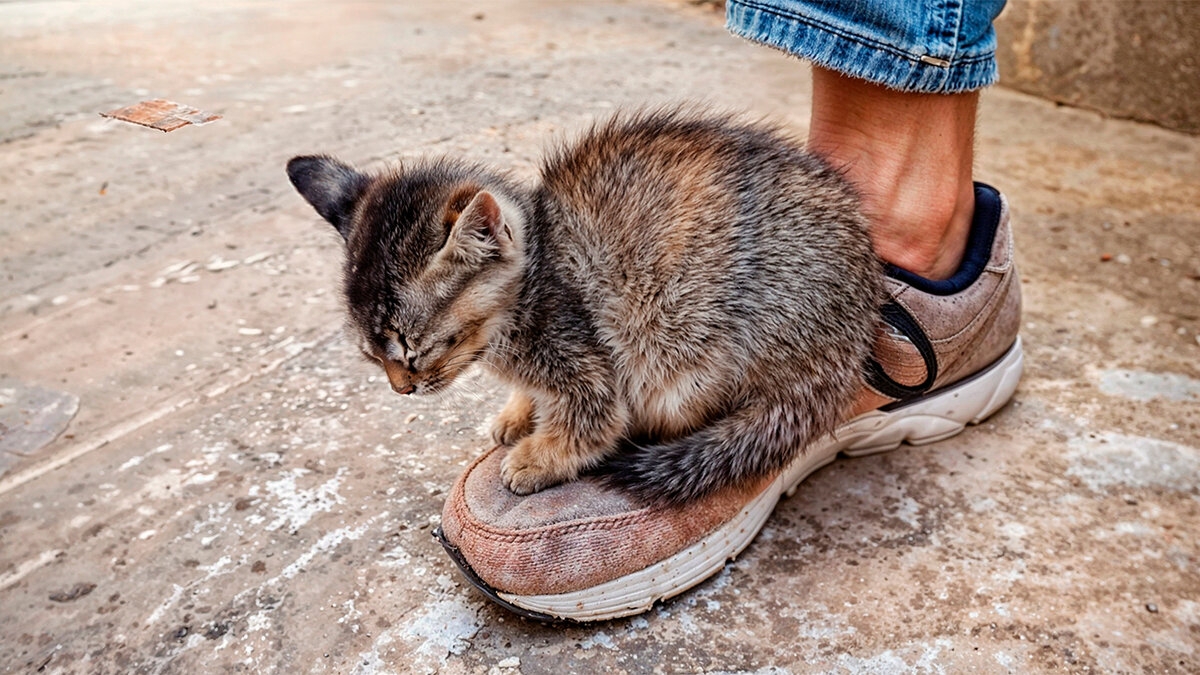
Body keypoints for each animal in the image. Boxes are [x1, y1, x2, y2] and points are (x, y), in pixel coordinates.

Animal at [284, 107, 878, 502]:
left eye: (413, 350)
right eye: (371, 356)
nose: (401, 390)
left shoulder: (584, 357)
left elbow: (595, 417)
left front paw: (539, 456)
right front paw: (519, 412)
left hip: (689, 352)